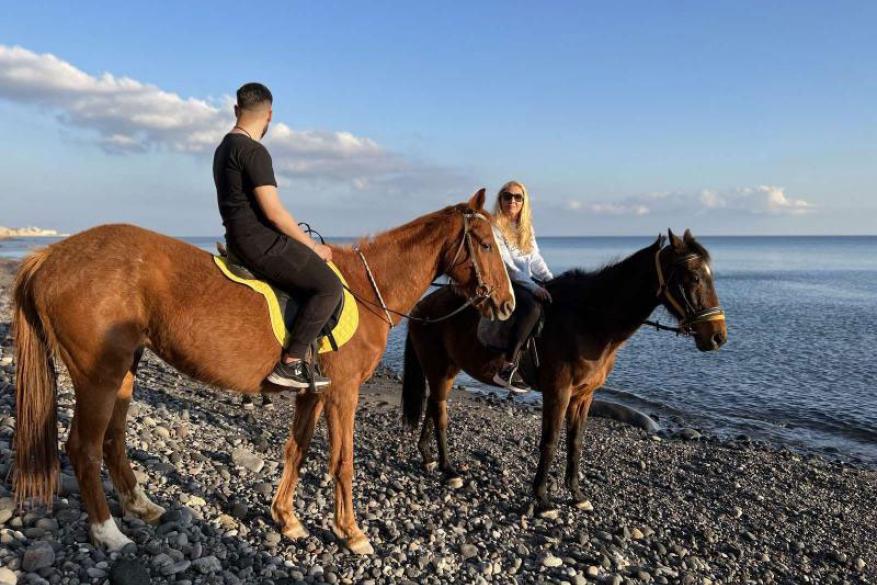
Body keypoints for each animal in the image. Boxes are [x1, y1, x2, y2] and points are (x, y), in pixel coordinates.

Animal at [12, 189, 516, 555]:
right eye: (485, 243)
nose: (508, 304)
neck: (366, 287)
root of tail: (51, 256)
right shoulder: (343, 393)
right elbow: (343, 462)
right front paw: (351, 532)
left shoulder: (313, 392)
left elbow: (297, 451)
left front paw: (287, 519)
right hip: (99, 375)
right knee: (83, 448)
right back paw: (108, 532)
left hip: (125, 372)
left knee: (113, 440)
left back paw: (141, 506)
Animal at [401, 229, 727, 513]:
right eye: (694, 277)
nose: (717, 337)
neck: (588, 321)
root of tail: (423, 306)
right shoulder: (558, 392)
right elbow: (550, 440)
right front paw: (542, 499)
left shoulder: (584, 395)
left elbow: (575, 442)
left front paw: (576, 495)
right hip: (439, 367)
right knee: (440, 412)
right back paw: (448, 469)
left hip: (447, 368)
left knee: (434, 408)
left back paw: (429, 458)